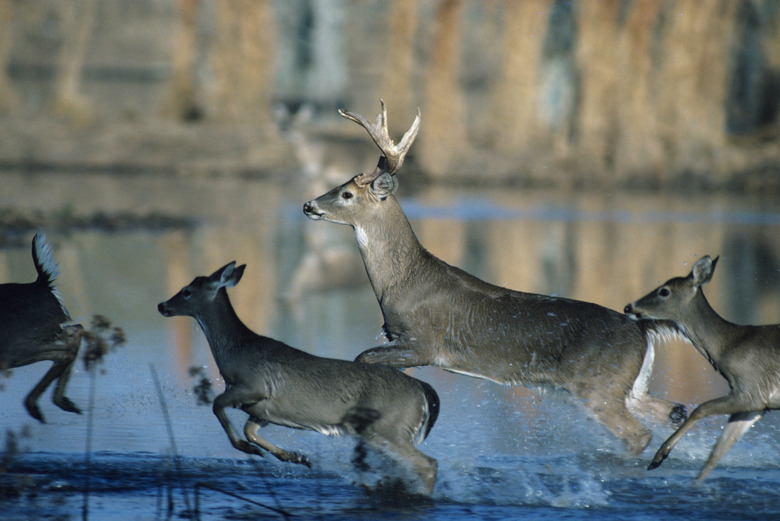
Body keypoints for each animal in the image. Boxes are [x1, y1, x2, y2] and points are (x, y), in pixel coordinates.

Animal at [0, 234, 83, 420]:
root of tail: (42, 283)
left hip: (15, 348)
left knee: (65, 348)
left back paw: (36, 406)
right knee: (76, 331)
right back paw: (63, 403)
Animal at [158, 262, 438, 494]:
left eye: (186, 291)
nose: (162, 305)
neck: (235, 351)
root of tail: (424, 390)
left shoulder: (255, 386)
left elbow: (217, 405)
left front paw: (249, 449)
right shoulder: (262, 409)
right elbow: (250, 430)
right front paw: (295, 457)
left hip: (388, 426)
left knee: (428, 464)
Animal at [302, 99, 684, 452]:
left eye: (347, 194)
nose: (309, 205)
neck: (401, 282)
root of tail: (642, 330)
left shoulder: (423, 343)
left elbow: (362, 358)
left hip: (597, 385)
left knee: (638, 434)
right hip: (629, 387)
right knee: (673, 411)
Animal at [628, 256, 780, 480]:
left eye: (664, 291)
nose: (628, 307)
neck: (728, 346)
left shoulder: (750, 391)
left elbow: (701, 409)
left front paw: (659, 456)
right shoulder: (757, 405)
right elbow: (717, 451)